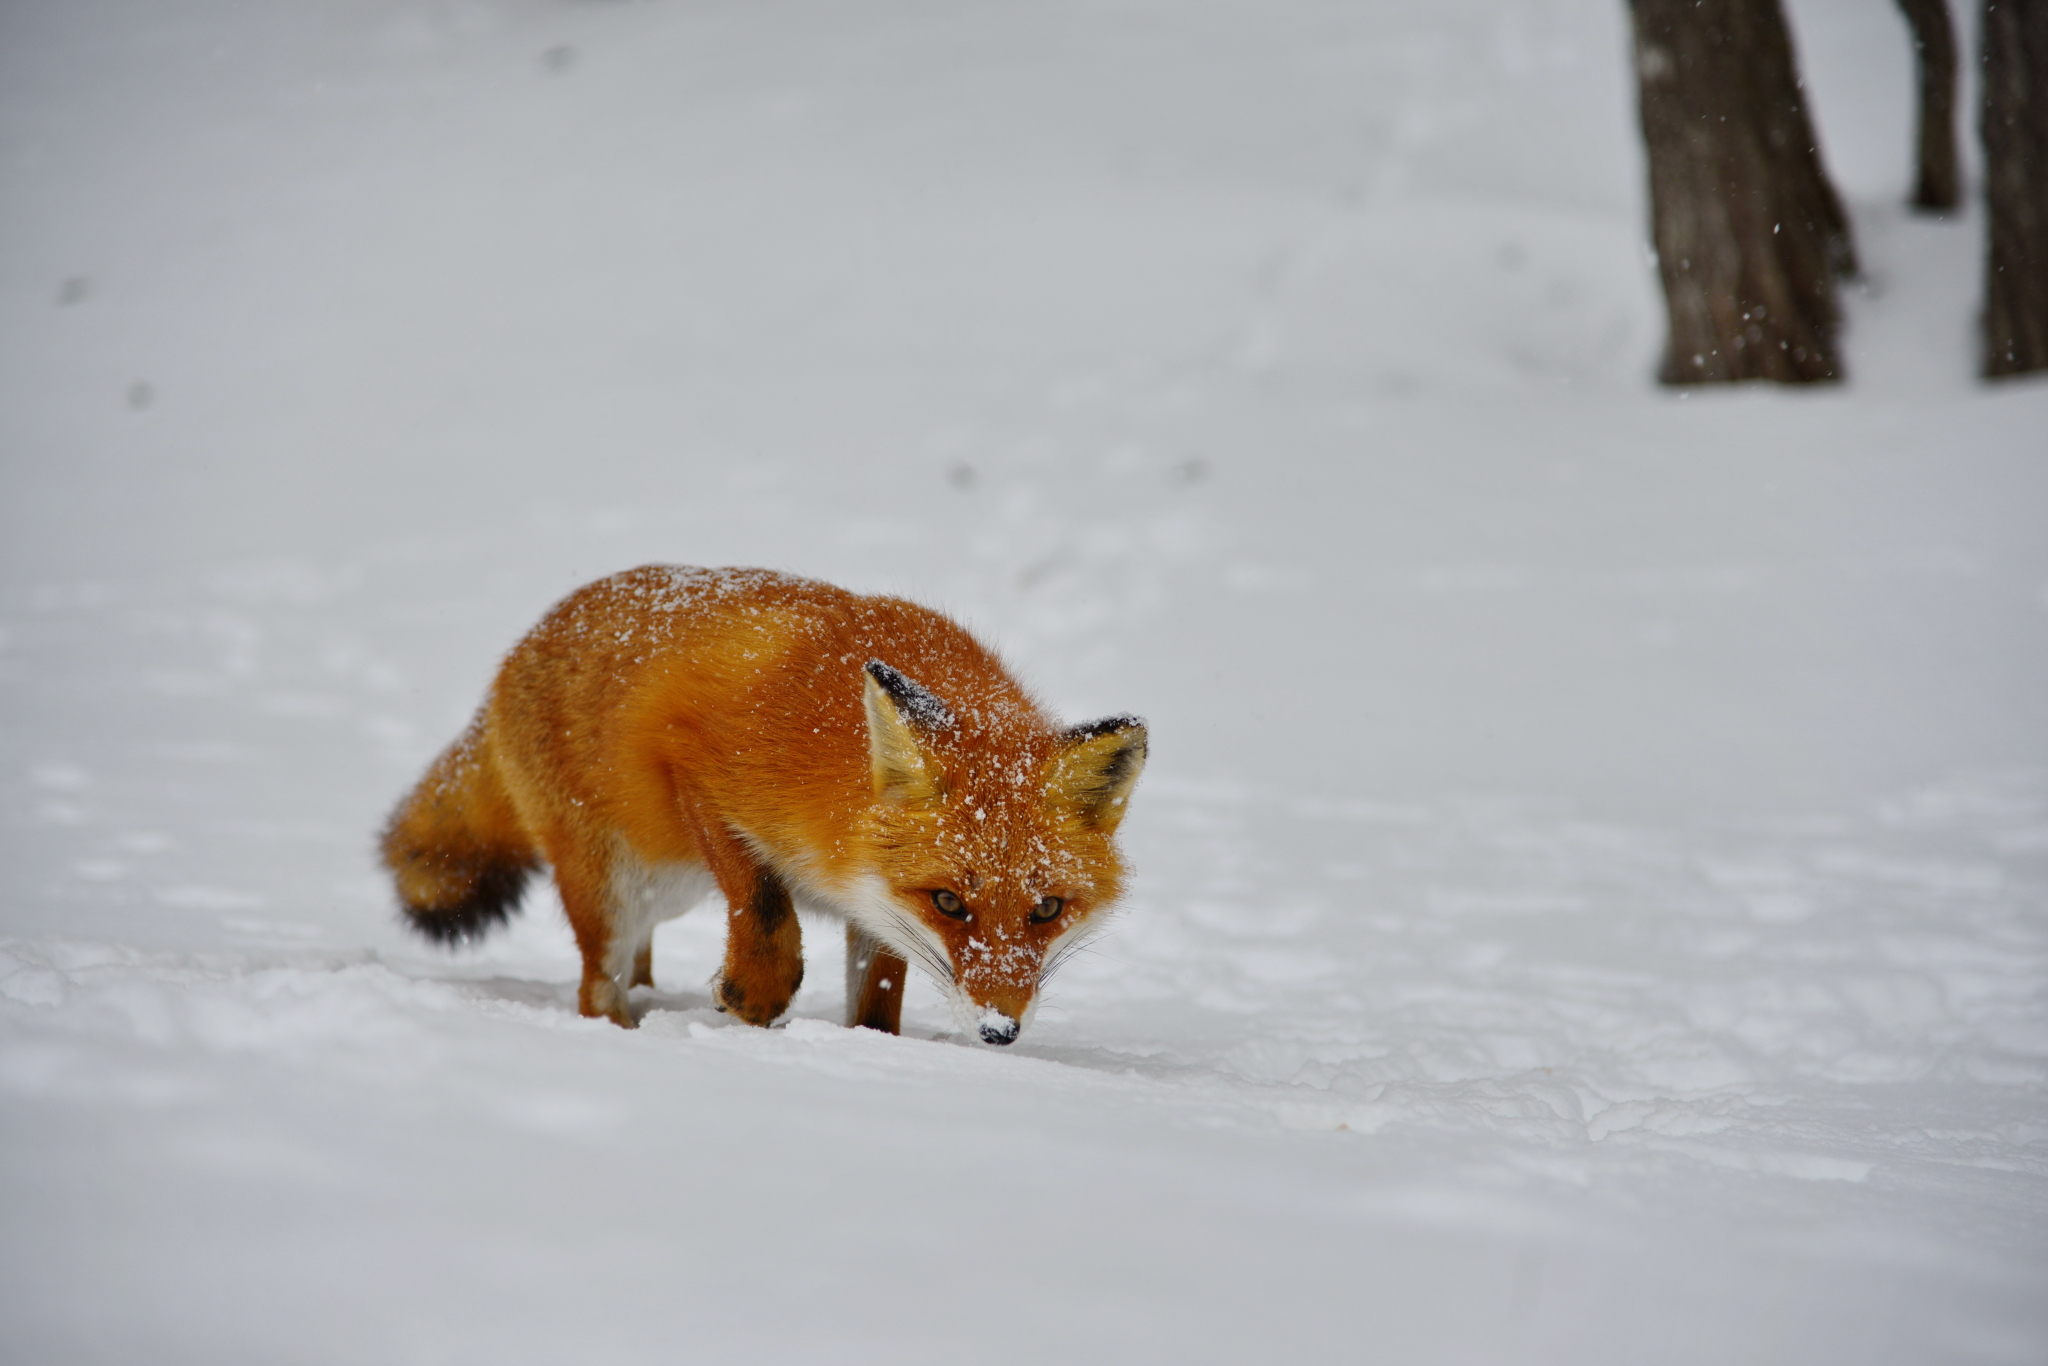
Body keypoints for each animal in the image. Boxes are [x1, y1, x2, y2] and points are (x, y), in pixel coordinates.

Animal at [382, 565, 1146, 1048]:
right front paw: (753, 996)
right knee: (598, 989)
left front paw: (873, 1048)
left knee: (635, 966)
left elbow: (878, 997)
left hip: (663, 894)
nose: (999, 1030)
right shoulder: (694, 767)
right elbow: (763, 903)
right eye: (950, 903)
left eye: (1047, 909)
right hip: (616, 883)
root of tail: (523, 645)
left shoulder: (875, 900)